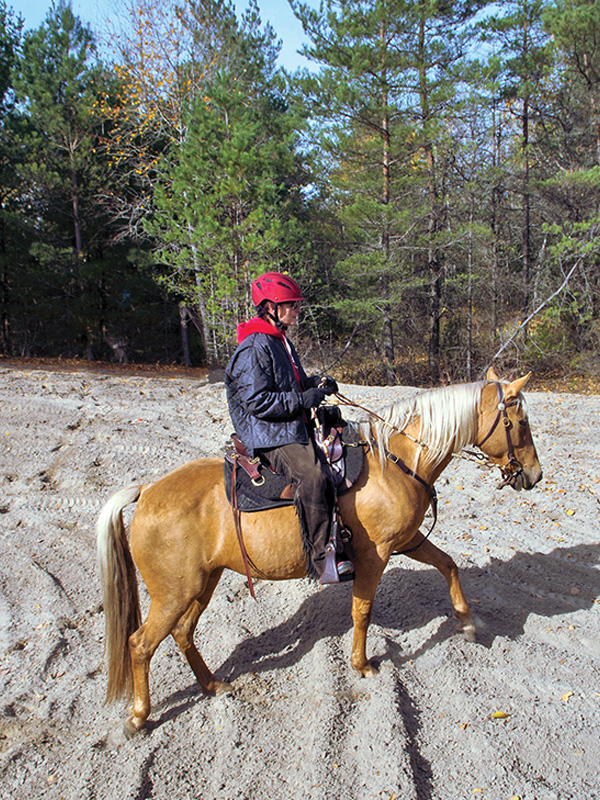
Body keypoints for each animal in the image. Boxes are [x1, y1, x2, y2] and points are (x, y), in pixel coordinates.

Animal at [97, 368, 542, 737]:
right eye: (520, 423)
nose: (535, 476)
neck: (396, 462)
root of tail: (146, 491)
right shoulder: (377, 554)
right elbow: (362, 611)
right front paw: (362, 664)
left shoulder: (408, 540)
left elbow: (448, 566)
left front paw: (467, 623)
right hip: (174, 592)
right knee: (140, 644)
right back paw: (138, 717)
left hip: (202, 583)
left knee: (182, 633)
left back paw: (213, 684)